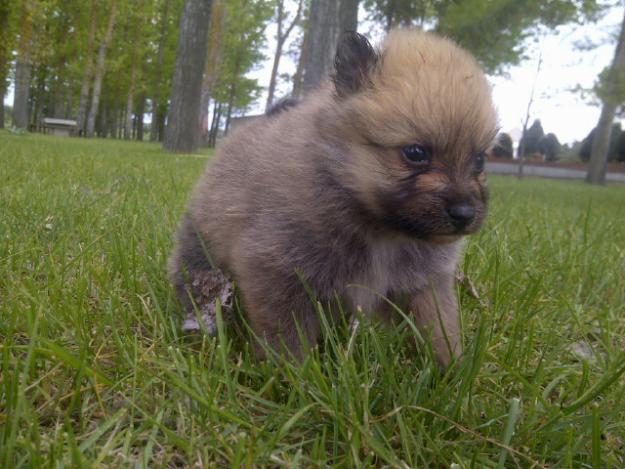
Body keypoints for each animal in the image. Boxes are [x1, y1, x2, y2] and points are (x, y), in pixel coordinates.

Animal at [167, 29, 498, 366]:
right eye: (416, 153)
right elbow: (286, 335)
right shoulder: (276, 269)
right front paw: (289, 376)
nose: (464, 214)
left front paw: (452, 369)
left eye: (480, 161)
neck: (381, 228)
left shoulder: (426, 282)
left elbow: (439, 326)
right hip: (201, 248)